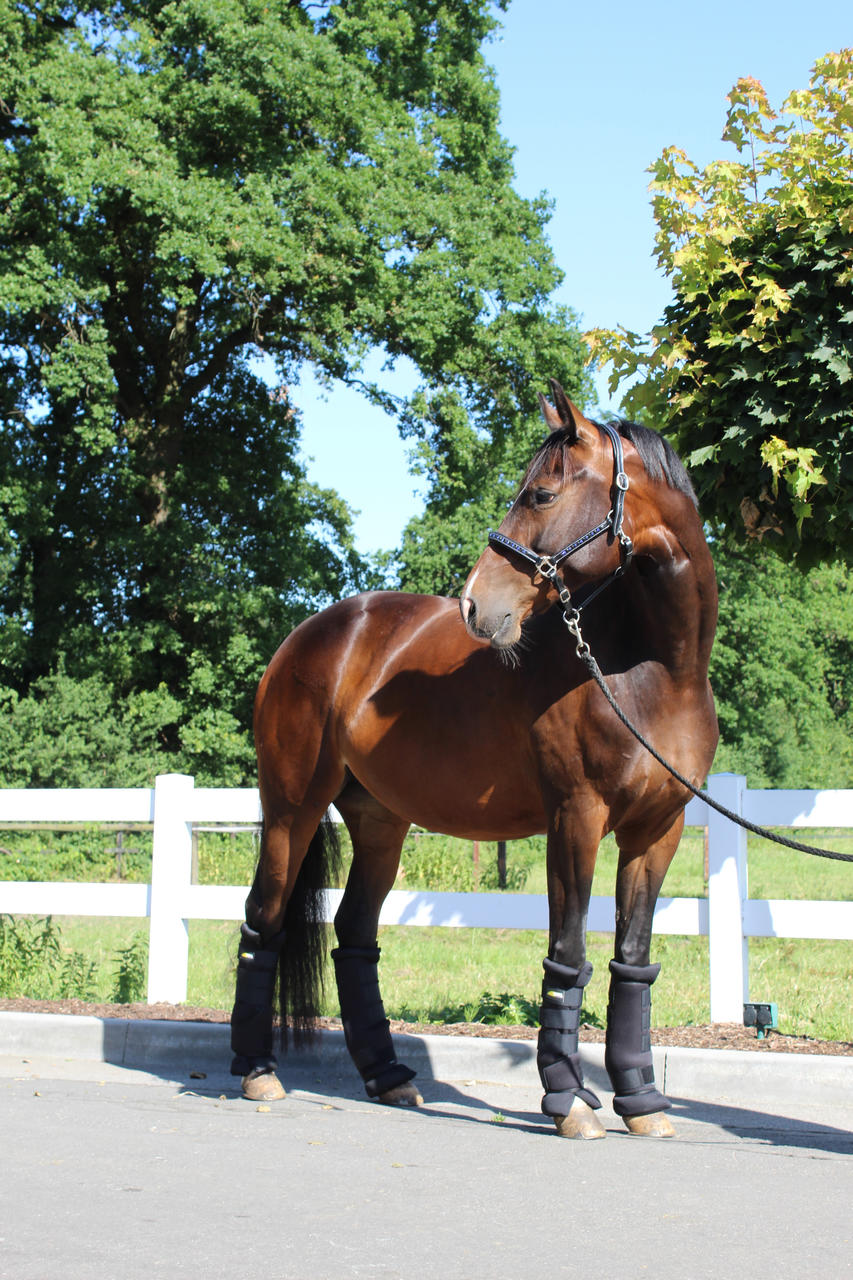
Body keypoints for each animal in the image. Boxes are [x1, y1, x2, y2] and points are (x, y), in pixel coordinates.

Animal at [229, 378, 712, 1141]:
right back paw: (257, 1071)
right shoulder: (575, 818)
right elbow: (567, 956)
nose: (475, 605)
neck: (654, 670)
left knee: (354, 936)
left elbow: (631, 963)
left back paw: (388, 1077)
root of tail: (310, 635)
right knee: (264, 920)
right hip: (290, 812)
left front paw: (640, 1102)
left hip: (380, 823)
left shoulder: (657, 829)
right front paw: (569, 1102)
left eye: (541, 494)